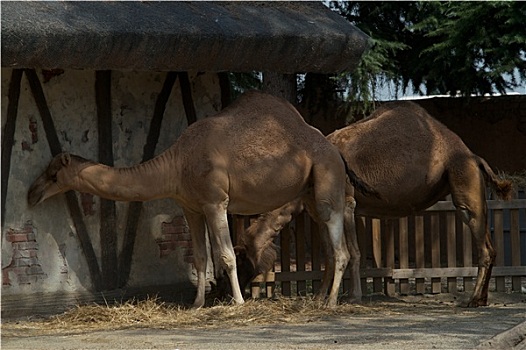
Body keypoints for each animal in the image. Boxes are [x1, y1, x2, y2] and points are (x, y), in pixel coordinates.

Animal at [27, 91, 380, 308]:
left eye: (53, 174)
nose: (31, 194)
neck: (177, 162)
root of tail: (334, 148)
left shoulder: (215, 201)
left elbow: (226, 255)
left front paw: (238, 302)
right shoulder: (190, 207)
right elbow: (199, 258)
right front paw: (196, 304)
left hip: (326, 180)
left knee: (341, 247)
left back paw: (332, 302)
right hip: (309, 192)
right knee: (331, 246)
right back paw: (322, 299)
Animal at [229, 100, 512, 306]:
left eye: (241, 259)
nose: (227, 293)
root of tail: (473, 156)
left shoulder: (347, 203)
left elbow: (352, 252)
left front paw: (353, 297)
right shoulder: (318, 211)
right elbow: (330, 254)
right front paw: (319, 297)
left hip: (463, 181)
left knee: (484, 245)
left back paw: (473, 300)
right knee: (490, 246)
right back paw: (482, 299)